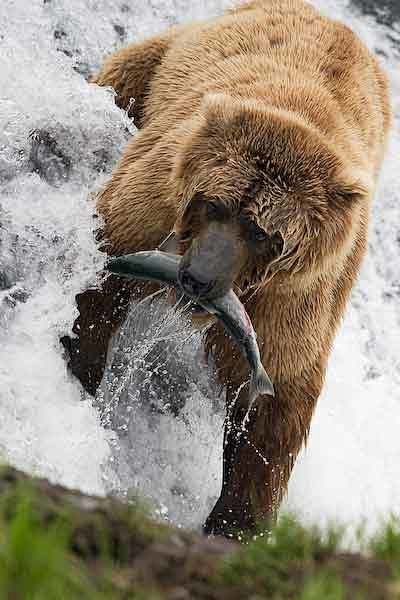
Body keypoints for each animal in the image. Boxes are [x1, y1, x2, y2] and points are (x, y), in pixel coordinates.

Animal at [62, 0, 390, 536]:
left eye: (261, 231)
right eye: (214, 204)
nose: (197, 279)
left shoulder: (296, 295)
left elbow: (277, 401)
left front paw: (235, 521)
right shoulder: (156, 202)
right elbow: (103, 279)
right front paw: (81, 369)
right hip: (159, 63)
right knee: (122, 78)